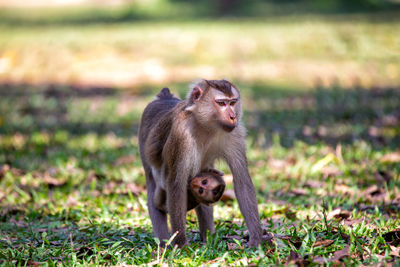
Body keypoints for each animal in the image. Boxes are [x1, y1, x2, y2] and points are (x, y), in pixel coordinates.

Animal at [139, 79, 264, 249]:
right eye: (221, 103)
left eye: (232, 102)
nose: (233, 116)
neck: (206, 126)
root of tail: (164, 98)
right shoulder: (181, 135)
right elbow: (176, 183)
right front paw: (181, 244)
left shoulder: (235, 133)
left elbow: (242, 180)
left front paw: (257, 240)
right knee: (153, 185)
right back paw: (163, 243)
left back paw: (208, 240)